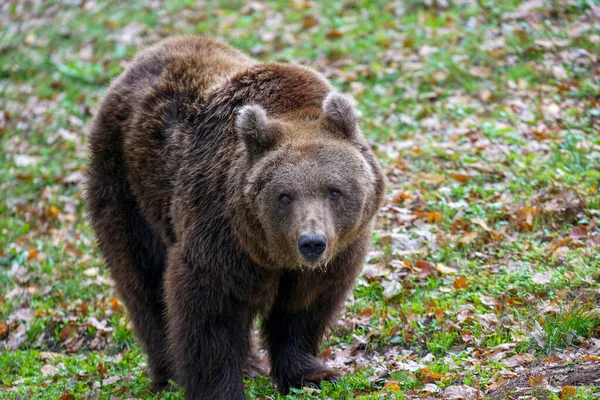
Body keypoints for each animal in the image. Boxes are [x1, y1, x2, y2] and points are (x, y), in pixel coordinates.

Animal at [85, 36, 384, 398]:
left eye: (333, 191)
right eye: (284, 196)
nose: (312, 242)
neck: (271, 253)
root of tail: (136, 63)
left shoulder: (339, 251)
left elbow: (304, 307)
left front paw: (312, 374)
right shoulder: (221, 233)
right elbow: (210, 312)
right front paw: (218, 387)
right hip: (128, 189)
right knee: (143, 281)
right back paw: (168, 374)